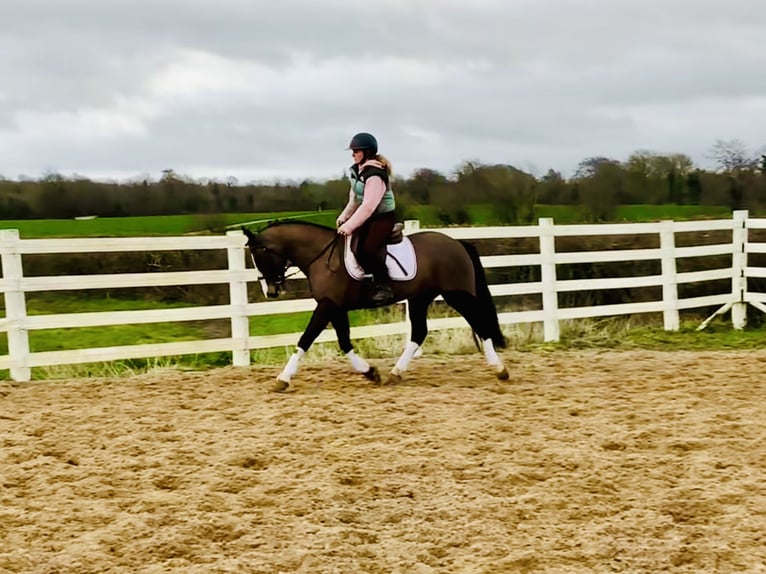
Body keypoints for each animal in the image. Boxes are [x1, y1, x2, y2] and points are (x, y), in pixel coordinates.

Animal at [242, 220, 509, 391]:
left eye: (260, 255)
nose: (270, 291)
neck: (323, 257)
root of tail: (457, 243)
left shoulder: (327, 305)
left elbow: (306, 339)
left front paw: (283, 379)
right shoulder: (335, 307)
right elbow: (344, 342)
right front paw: (370, 372)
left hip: (457, 296)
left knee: (480, 323)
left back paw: (499, 369)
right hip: (420, 298)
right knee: (419, 332)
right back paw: (395, 374)